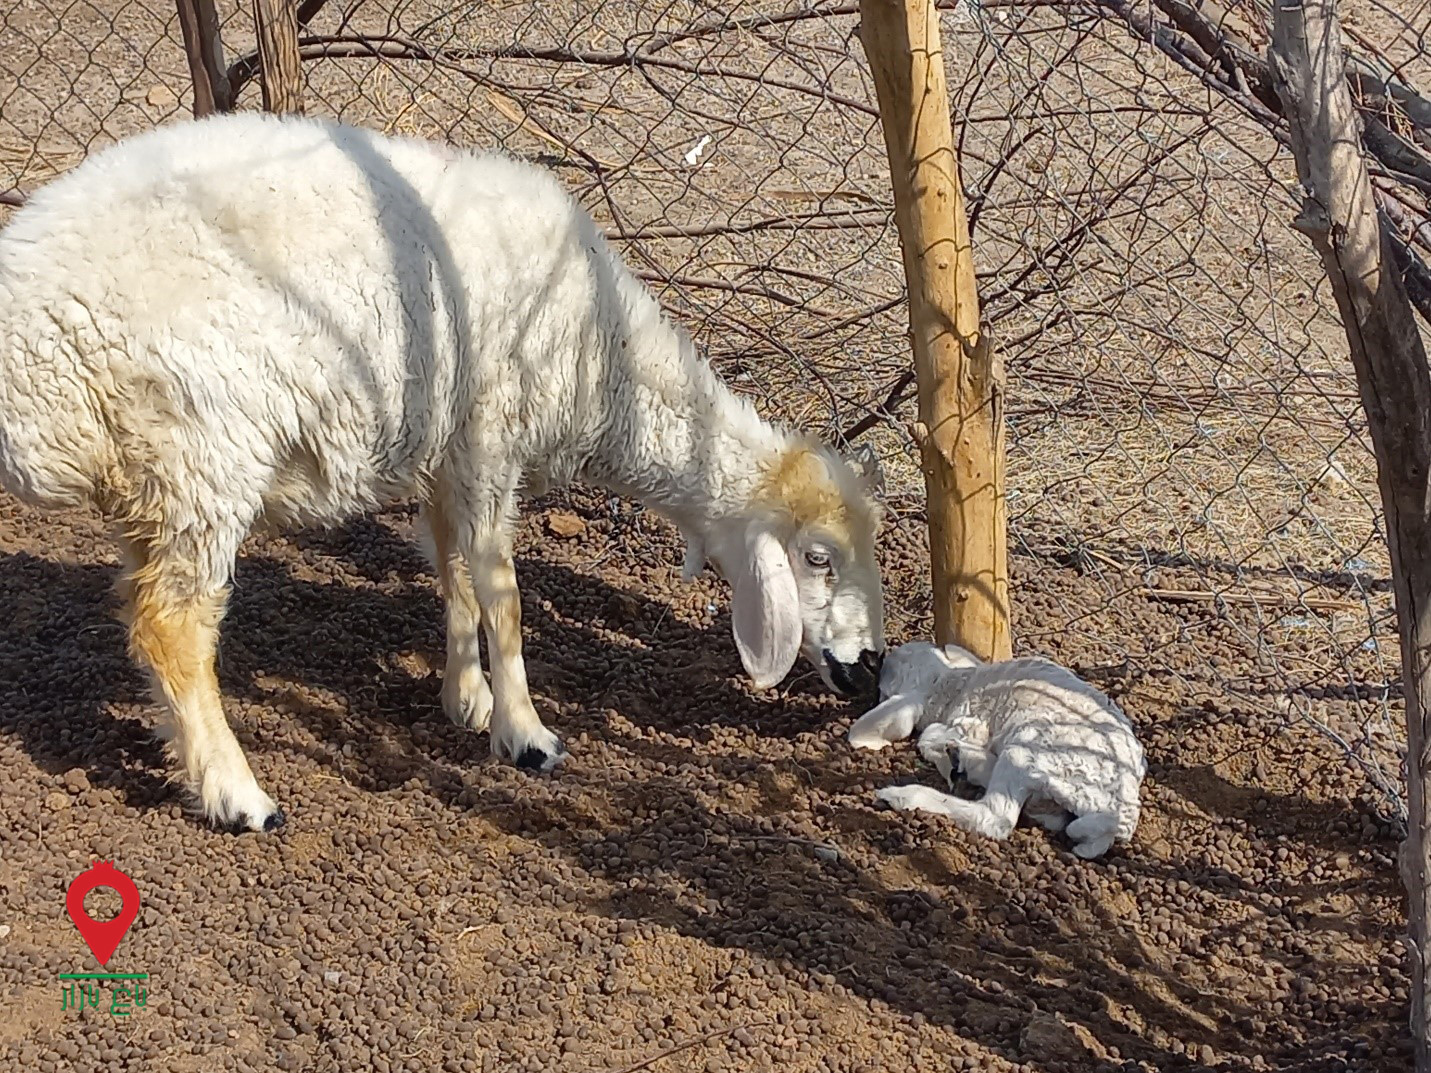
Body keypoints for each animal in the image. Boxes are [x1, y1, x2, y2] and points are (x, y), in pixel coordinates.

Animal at [0, 111, 887, 829]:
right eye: (817, 557)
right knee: (171, 624)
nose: (871, 668)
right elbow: (503, 589)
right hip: (204, 451)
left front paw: (466, 697)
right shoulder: (491, 430)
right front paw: (525, 734)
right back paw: (236, 793)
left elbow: (454, 568)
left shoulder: (446, 441)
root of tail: (29, 331)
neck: (606, 358)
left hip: (159, 473)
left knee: (144, 612)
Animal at [852, 643, 1144, 864]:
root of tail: (1119, 818)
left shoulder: (968, 721)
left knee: (994, 817)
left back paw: (902, 794)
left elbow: (931, 734)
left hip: (1029, 747)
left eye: (883, 691)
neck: (954, 682)